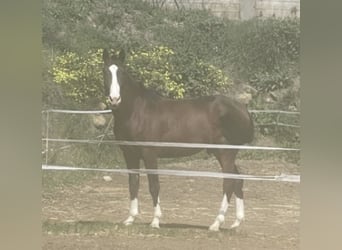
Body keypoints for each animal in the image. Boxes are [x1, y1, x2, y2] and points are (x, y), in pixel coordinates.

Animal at [102, 49, 254, 232]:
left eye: (122, 72)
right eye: (105, 72)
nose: (114, 99)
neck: (137, 112)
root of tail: (242, 108)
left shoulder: (149, 154)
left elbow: (154, 186)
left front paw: (155, 221)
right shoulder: (130, 154)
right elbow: (133, 184)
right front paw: (130, 218)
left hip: (226, 152)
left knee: (229, 183)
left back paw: (216, 223)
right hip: (222, 153)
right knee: (238, 180)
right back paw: (236, 222)